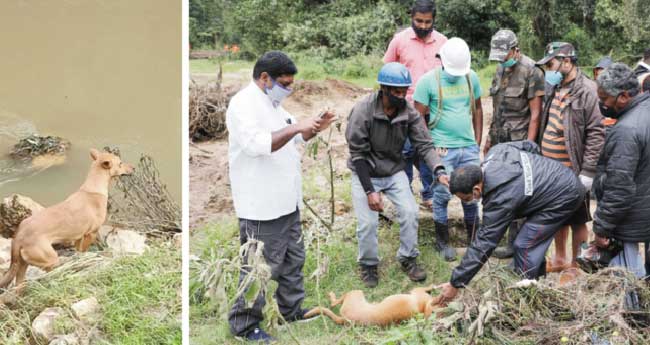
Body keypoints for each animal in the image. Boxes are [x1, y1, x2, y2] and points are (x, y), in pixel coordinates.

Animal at [0, 148, 133, 292]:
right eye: (120, 163)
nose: (133, 167)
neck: (93, 187)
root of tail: (19, 235)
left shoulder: (79, 237)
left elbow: (78, 251)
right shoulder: (91, 234)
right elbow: (84, 252)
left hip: (23, 264)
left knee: (18, 283)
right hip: (50, 259)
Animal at [304, 282, 440, 326]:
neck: (423, 309)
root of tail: (345, 320)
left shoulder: (417, 290)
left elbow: (428, 286)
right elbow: (429, 287)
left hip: (355, 293)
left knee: (334, 303)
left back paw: (331, 295)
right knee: (333, 304)